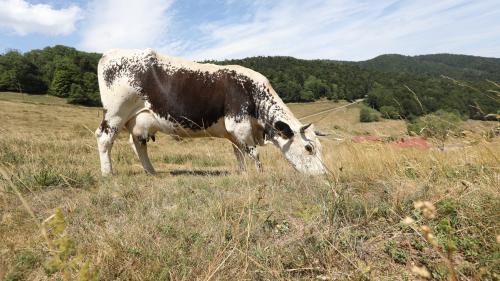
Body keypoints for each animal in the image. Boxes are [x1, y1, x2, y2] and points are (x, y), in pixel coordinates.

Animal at [95, 48, 326, 175]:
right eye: (309, 148)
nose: (324, 174)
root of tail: (109, 53)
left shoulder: (234, 132)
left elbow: (238, 152)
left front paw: (242, 173)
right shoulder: (239, 123)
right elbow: (254, 153)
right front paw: (260, 174)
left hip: (138, 119)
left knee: (137, 144)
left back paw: (151, 171)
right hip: (116, 112)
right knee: (104, 138)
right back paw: (108, 172)